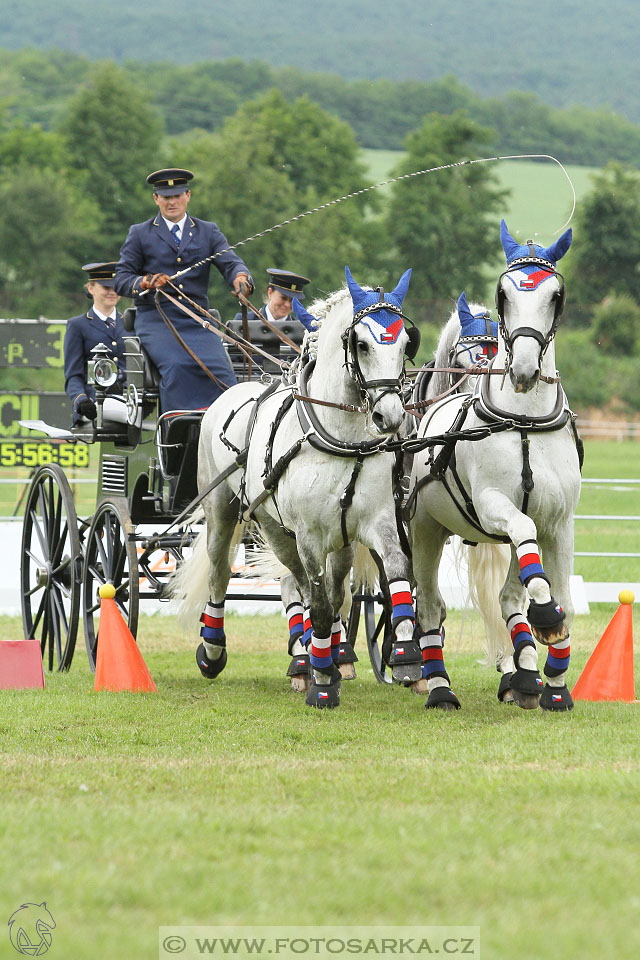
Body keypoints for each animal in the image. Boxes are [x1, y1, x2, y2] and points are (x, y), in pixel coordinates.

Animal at [174, 266, 430, 708]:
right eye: (361, 344)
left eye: (404, 344)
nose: (391, 415)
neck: (342, 438)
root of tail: (237, 389)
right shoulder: (309, 535)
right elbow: (321, 604)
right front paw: (323, 682)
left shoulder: (375, 523)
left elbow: (393, 575)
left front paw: (406, 658)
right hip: (241, 518)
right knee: (225, 574)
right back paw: (216, 650)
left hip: (320, 537)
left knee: (322, 586)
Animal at [408, 221, 584, 708]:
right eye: (503, 293)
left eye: (556, 295)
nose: (522, 371)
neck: (524, 419)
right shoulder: (493, 505)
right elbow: (524, 539)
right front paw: (545, 618)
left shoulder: (558, 521)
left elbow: (558, 596)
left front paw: (554, 684)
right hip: (424, 528)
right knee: (428, 606)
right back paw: (438, 686)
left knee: (506, 596)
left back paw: (522, 676)